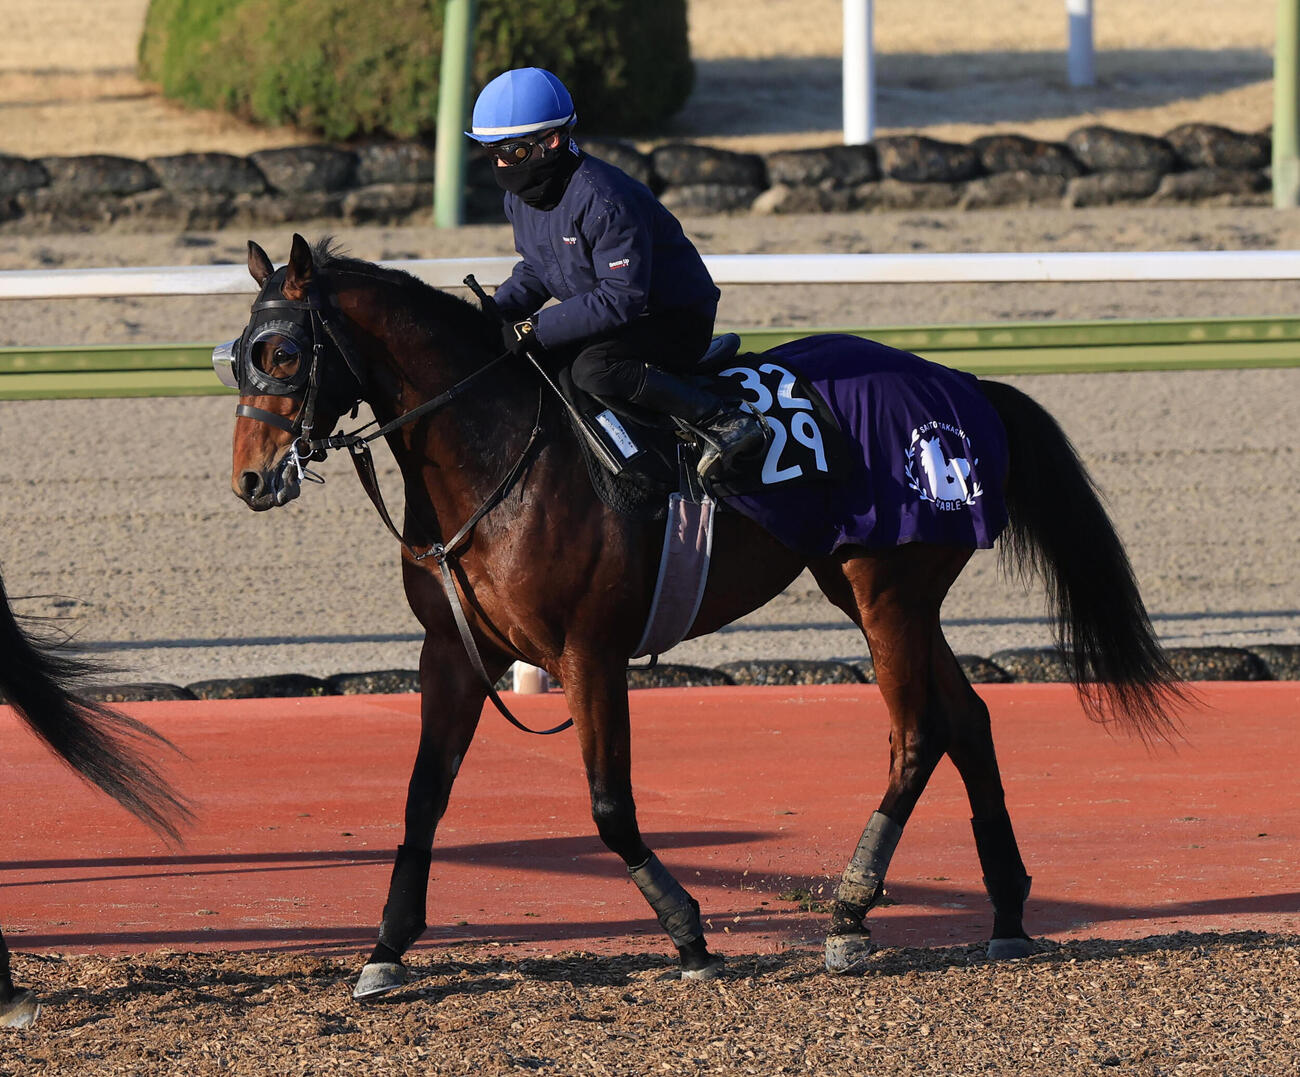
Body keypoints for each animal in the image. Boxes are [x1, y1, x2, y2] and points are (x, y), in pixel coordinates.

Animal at [222, 234, 1185, 999]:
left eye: (281, 352)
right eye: (234, 356)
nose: (252, 479)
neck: (497, 452)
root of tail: (964, 384)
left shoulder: (590, 651)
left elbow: (610, 807)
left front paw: (688, 932)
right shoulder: (453, 654)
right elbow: (423, 796)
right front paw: (385, 946)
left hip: (886, 589)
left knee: (917, 734)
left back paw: (849, 911)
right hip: (876, 588)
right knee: (969, 720)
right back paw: (1009, 911)